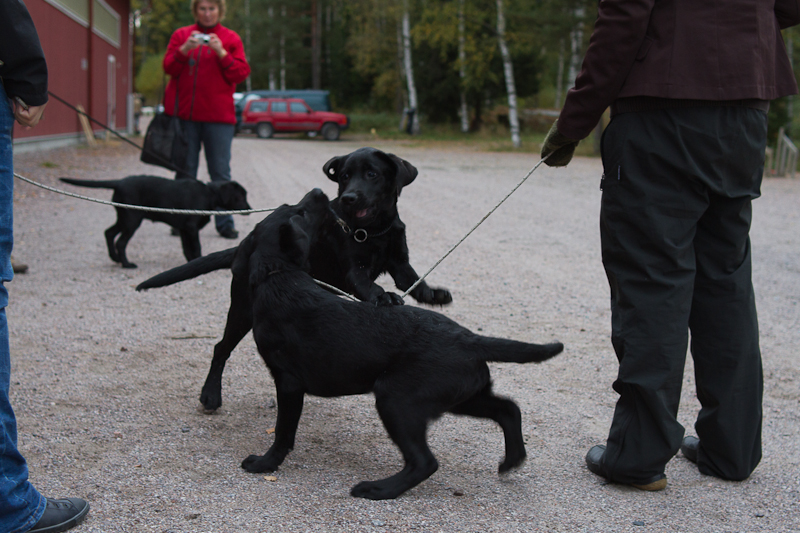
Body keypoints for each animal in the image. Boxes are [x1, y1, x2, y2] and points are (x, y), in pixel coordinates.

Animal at [136, 148, 450, 414]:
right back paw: (210, 395)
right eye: (345, 176)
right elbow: (370, 286)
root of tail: (246, 244)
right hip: (242, 308)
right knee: (220, 348)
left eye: (372, 174)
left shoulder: (399, 262)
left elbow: (415, 280)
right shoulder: (354, 270)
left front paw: (433, 294)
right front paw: (383, 296)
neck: (373, 230)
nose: (348, 198)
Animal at [234, 190, 564, 498]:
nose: (319, 192)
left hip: (396, 399)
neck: (278, 274)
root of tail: (470, 339)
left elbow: (283, 432)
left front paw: (265, 464)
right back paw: (511, 460)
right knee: (508, 409)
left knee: (425, 462)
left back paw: (378, 489)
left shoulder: (288, 382)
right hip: (460, 395)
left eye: (299, 211)